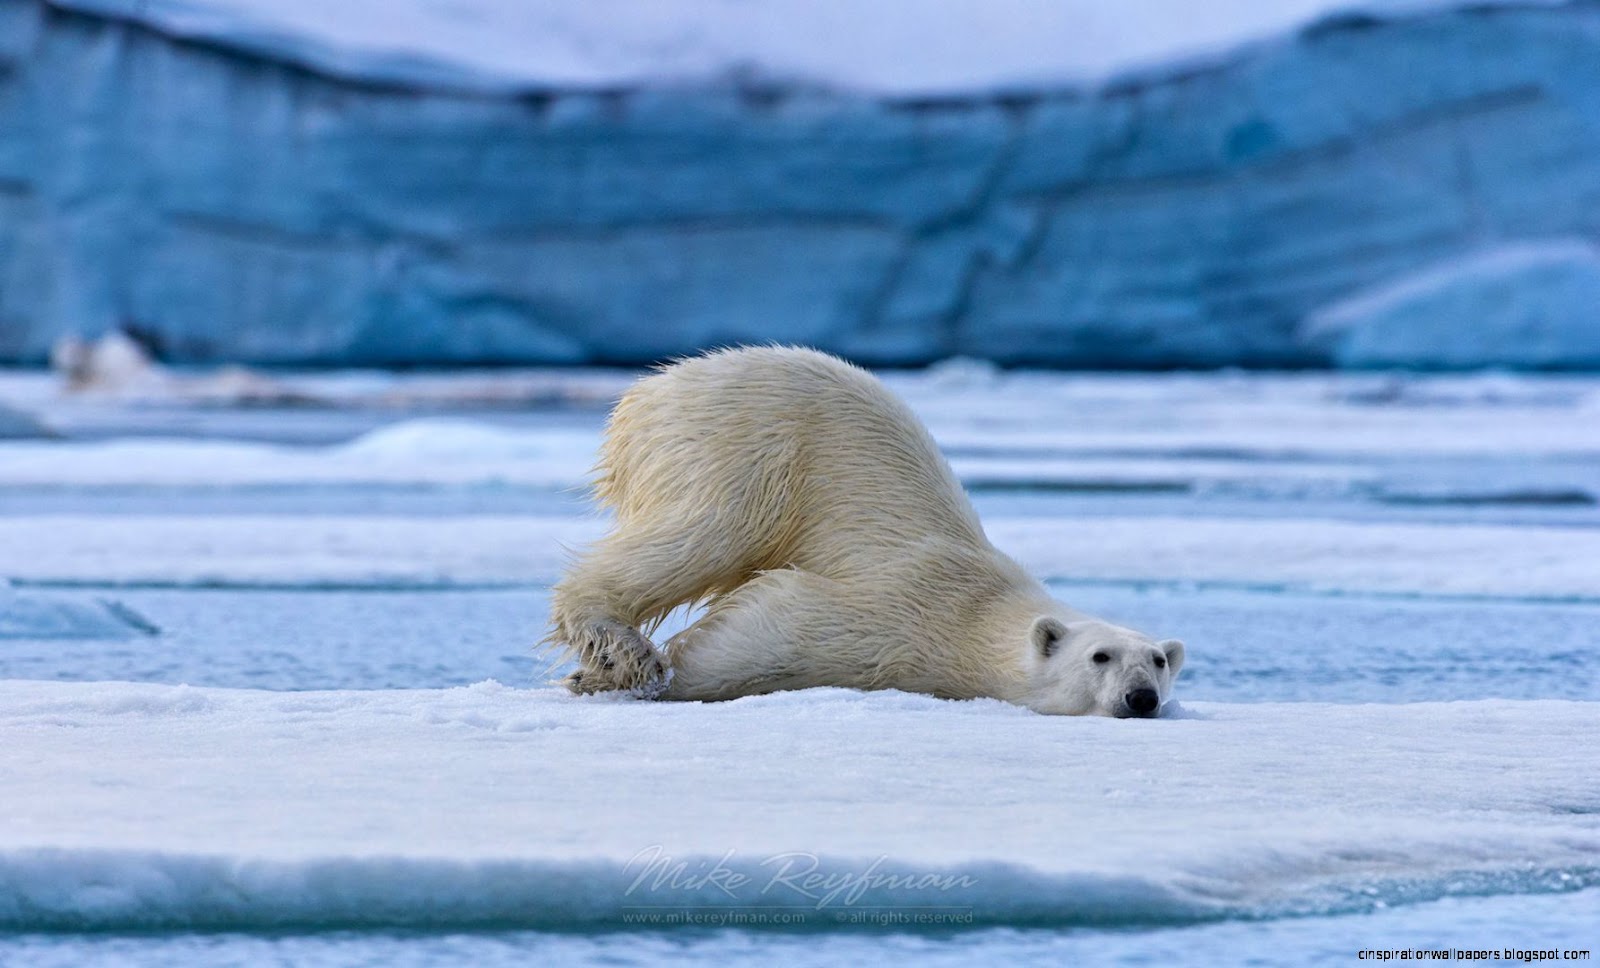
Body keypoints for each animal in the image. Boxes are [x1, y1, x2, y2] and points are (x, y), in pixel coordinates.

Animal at [545, 346, 1184, 717]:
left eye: (1158, 660)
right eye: (1100, 656)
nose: (1141, 698)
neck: (979, 616)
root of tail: (650, 388)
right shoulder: (901, 610)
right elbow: (774, 627)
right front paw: (639, 679)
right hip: (742, 450)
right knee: (703, 533)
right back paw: (623, 650)